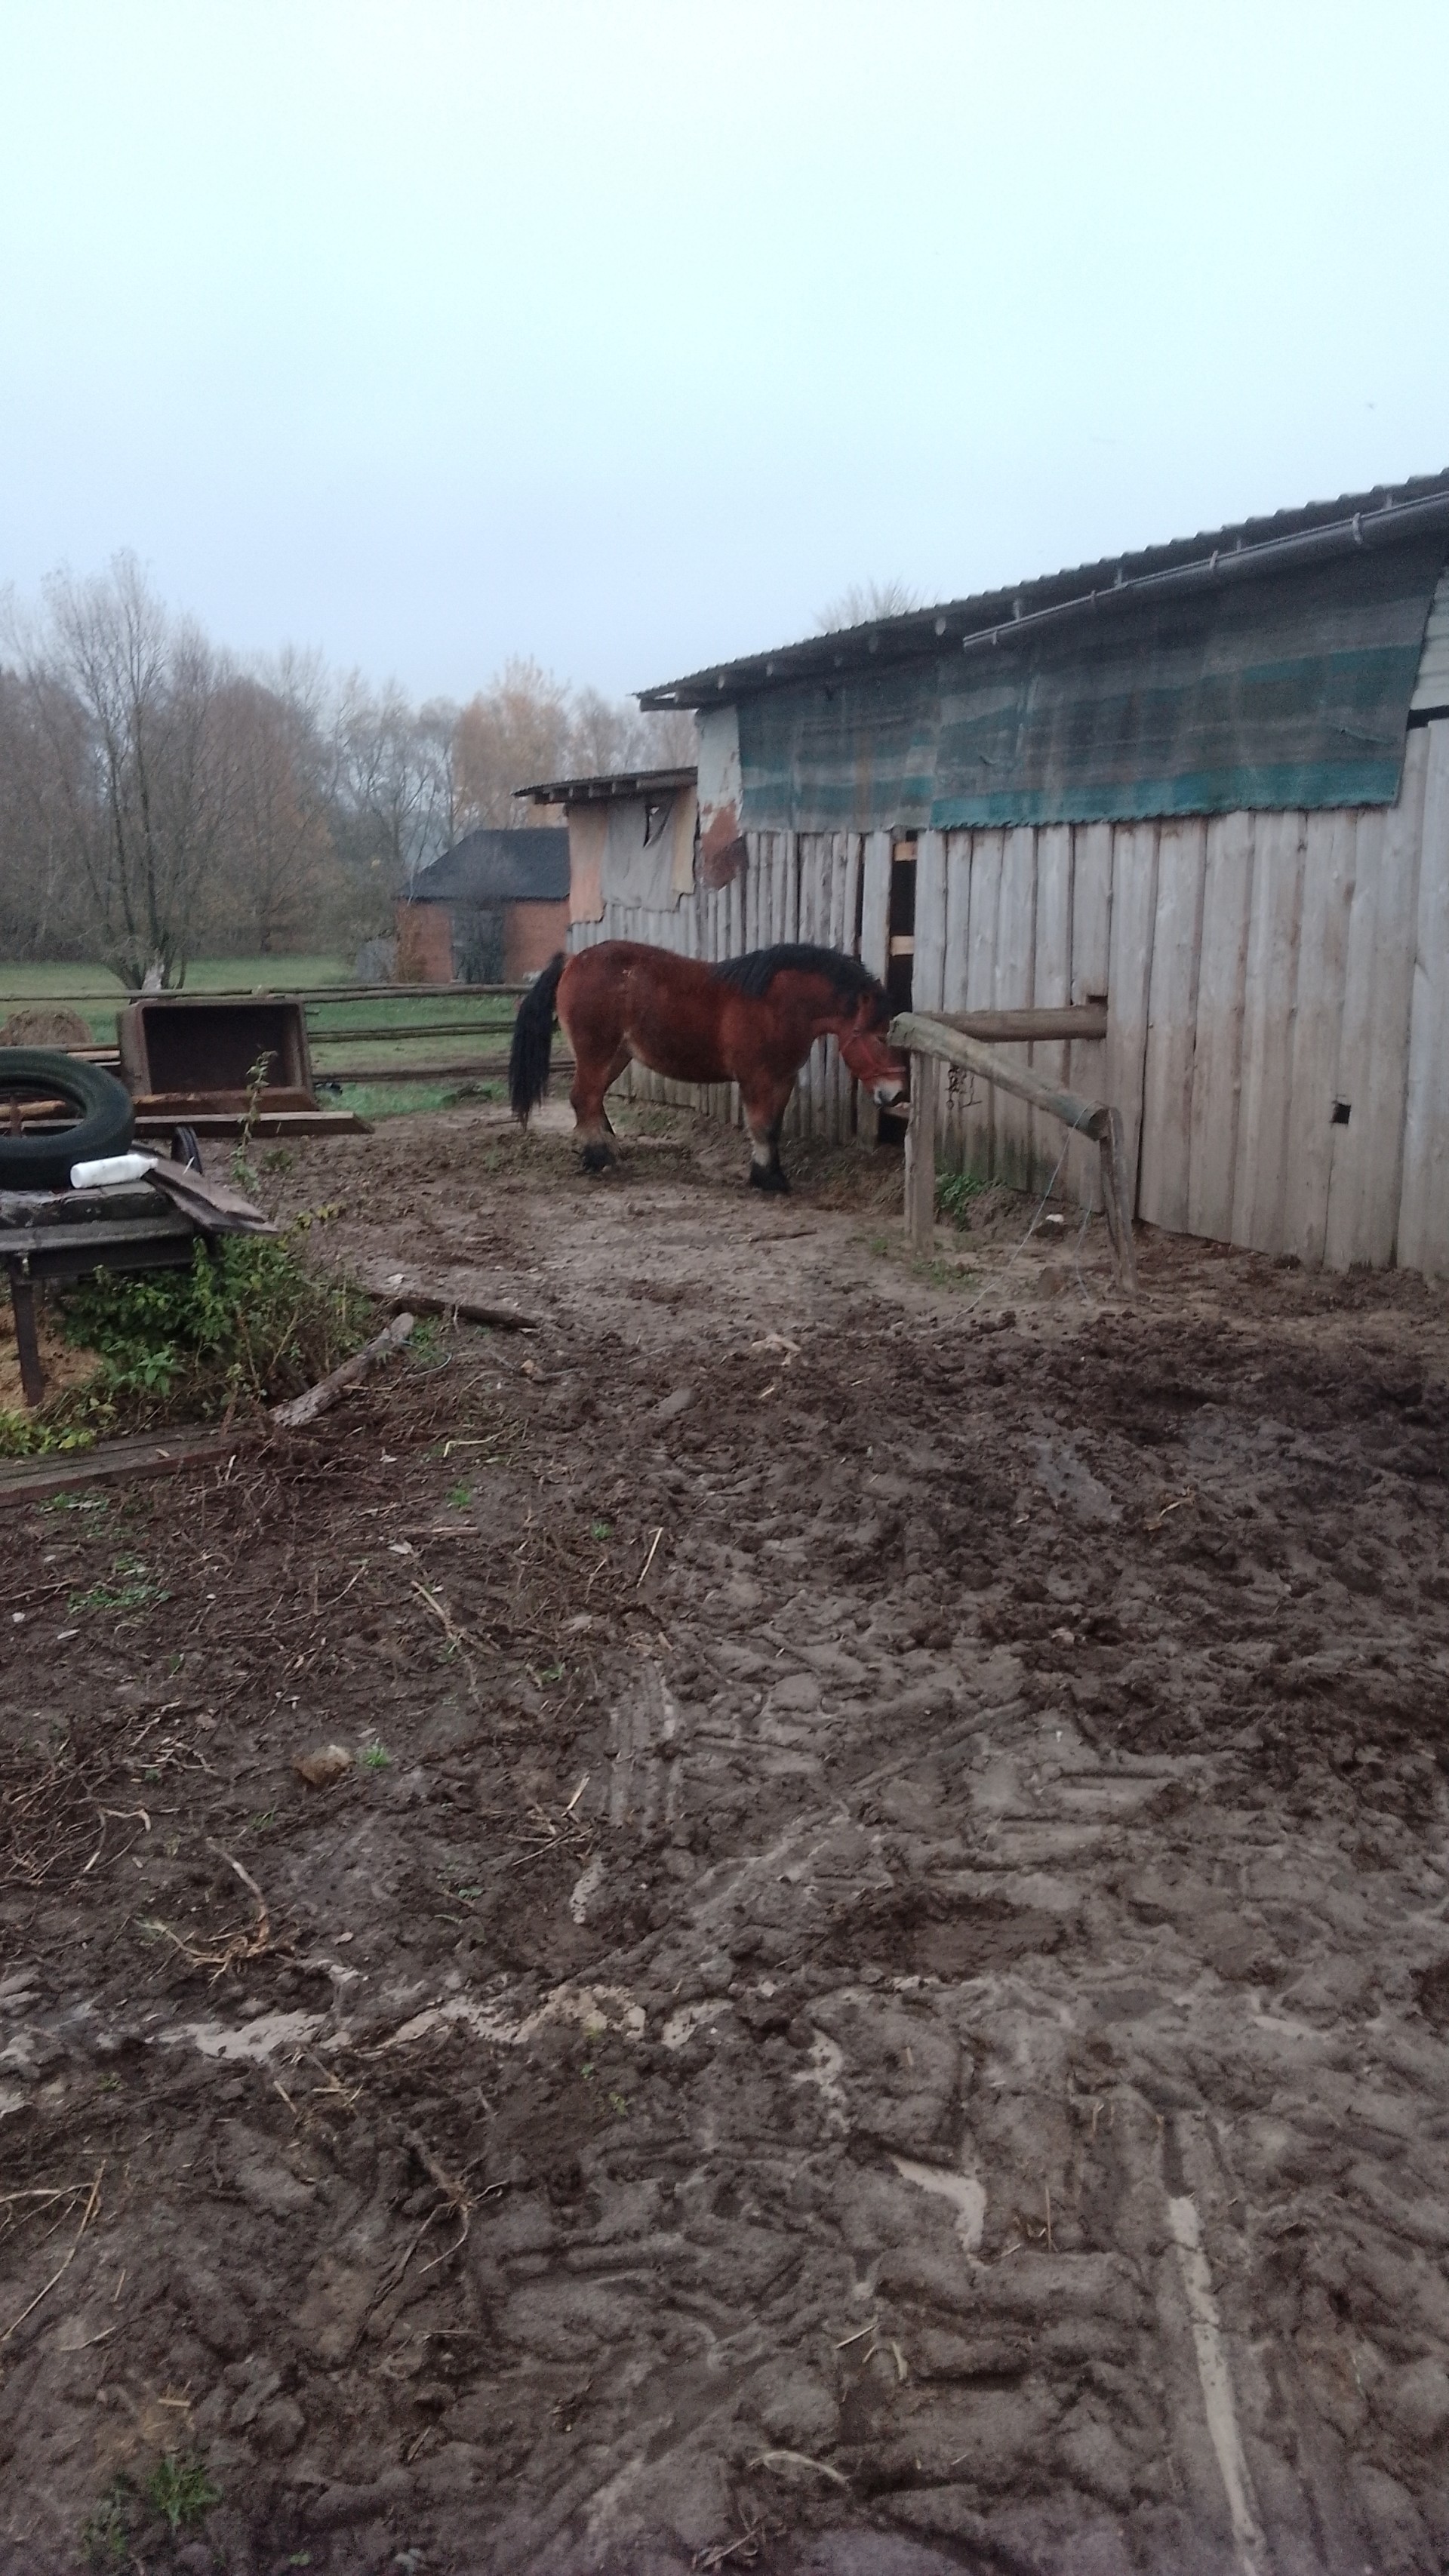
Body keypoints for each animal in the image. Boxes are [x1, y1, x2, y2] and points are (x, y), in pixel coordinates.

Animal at [508, 939, 907, 1192]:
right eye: (879, 1037)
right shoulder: (757, 1080)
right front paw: (767, 1179)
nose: (897, 1093)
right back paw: (598, 1158)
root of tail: (573, 960)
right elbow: (761, 1127)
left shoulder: (782, 1080)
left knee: (592, 1102)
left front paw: (771, 1174)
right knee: (583, 1099)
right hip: (597, 1053)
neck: (777, 1005)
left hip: (616, 1056)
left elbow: (773, 1128)